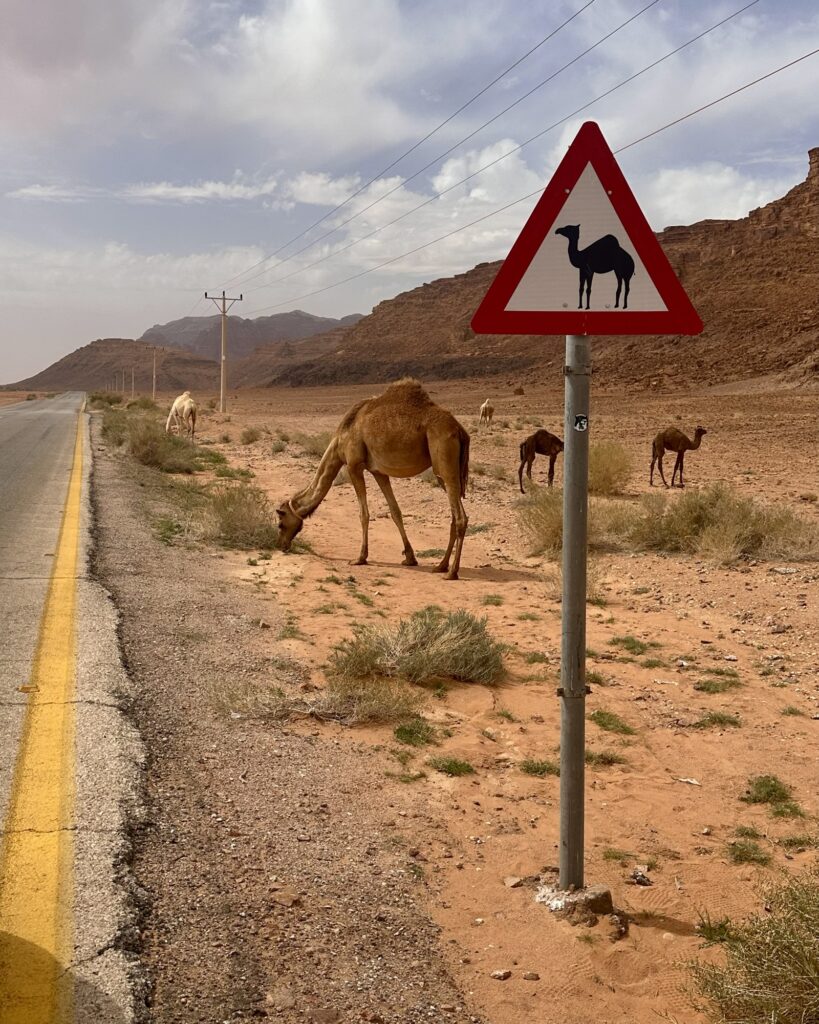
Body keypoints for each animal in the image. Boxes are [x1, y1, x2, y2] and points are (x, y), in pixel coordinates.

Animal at [274, 378, 470, 585]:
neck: (340, 438)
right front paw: (410, 558)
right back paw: (441, 566)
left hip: (443, 459)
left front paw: (360, 558)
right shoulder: (379, 472)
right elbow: (395, 512)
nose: (281, 545)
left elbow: (363, 514)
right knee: (454, 513)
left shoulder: (353, 465)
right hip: (444, 471)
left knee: (460, 517)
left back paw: (452, 572)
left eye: (281, 523)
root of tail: (459, 429)